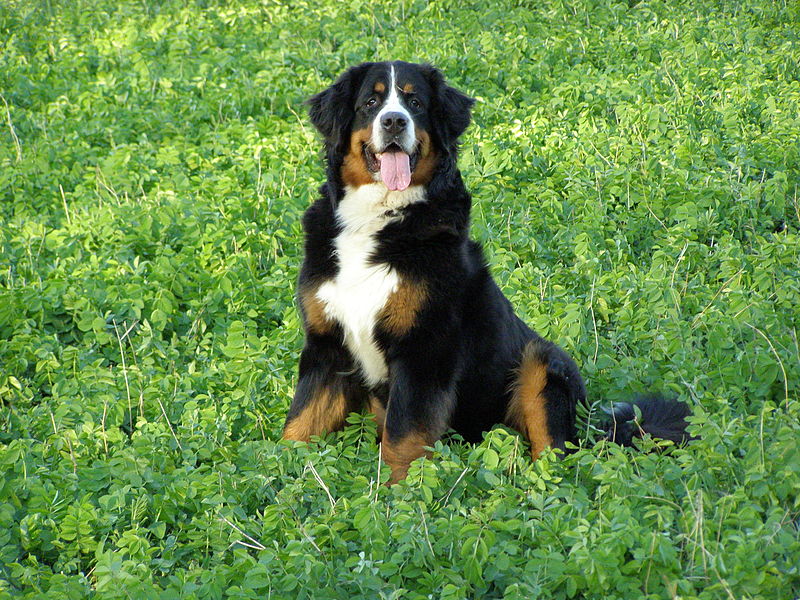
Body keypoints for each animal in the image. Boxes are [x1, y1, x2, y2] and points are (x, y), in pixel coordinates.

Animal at [280, 59, 688, 482]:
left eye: (415, 102)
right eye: (371, 102)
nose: (394, 121)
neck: (380, 218)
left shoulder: (425, 349)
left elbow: (403, 436)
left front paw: (398, 491)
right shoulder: (327, 346)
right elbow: (301, 421)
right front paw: (277, 471)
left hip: (542, 362)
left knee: (553, 451)